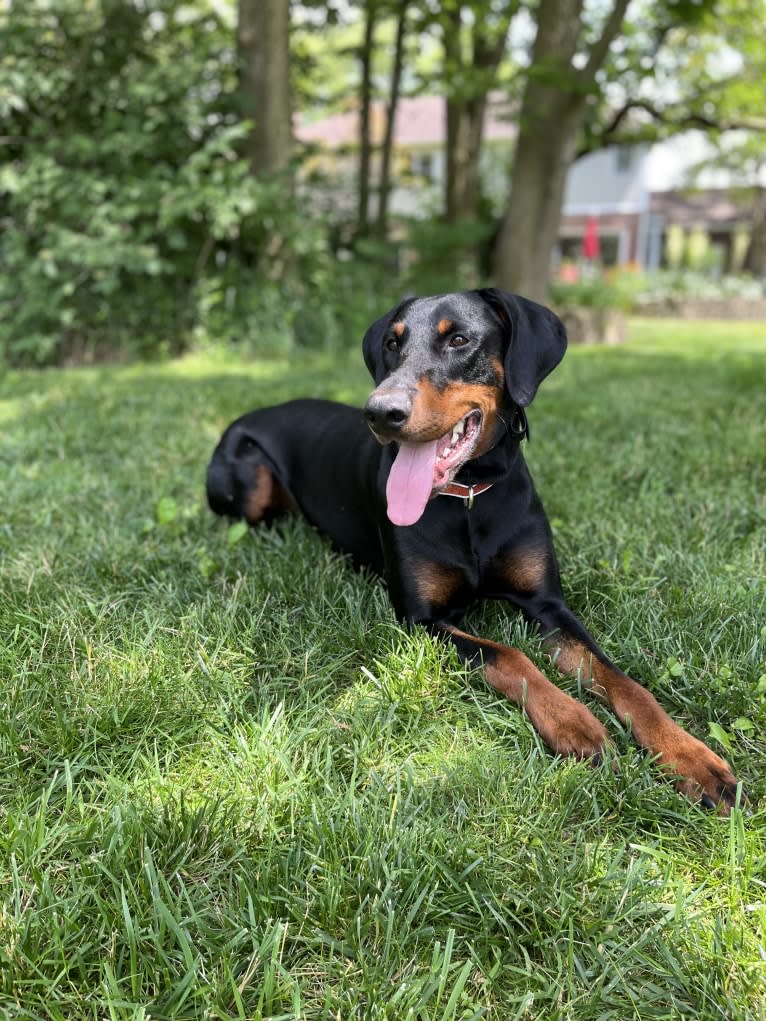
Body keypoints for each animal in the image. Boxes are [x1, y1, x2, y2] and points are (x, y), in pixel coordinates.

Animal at [208, 287, 743, 812]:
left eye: (459, 339)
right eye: (392, 343)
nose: (380, 412)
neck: (468, 496)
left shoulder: (549, 605)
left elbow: (625, 682)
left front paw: (693, 757)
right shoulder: (423, 620)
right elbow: (509, 655)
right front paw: (575, 721)